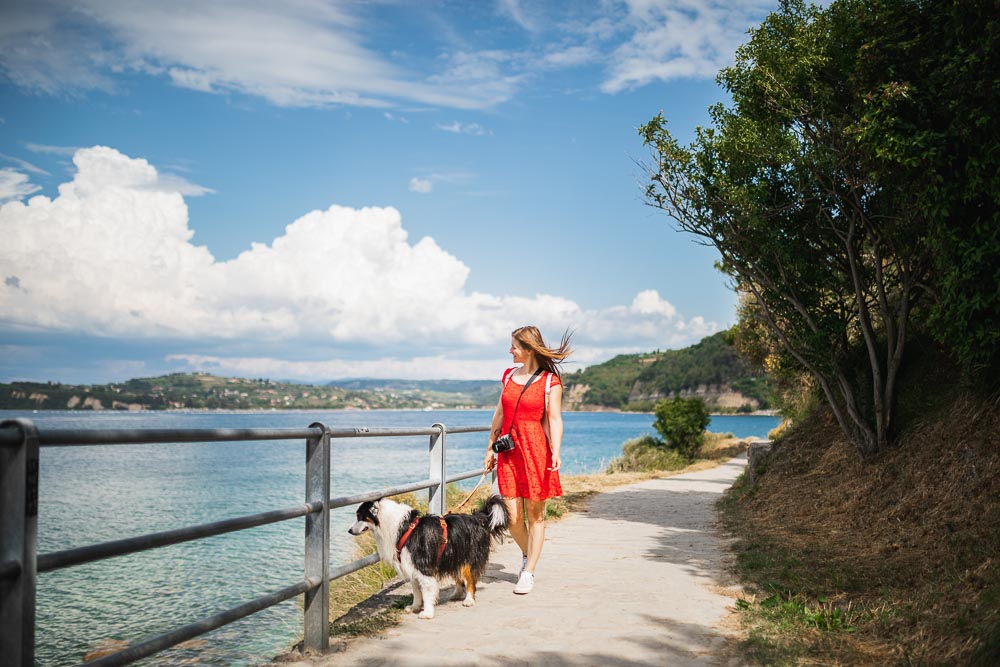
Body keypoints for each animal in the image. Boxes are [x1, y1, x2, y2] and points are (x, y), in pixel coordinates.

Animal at [350, 496, 508, 620]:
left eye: (360, 516)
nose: (349, 530)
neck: (403, 528)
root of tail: (477, 517)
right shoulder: (411, 566)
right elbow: (416, 591)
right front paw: (414, 607)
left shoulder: (423, 566)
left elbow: (426, 592)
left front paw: (427, 612)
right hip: (454, 555)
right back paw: (456, 593)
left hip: (469, 556)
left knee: (470, 580)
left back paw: (469, 599)